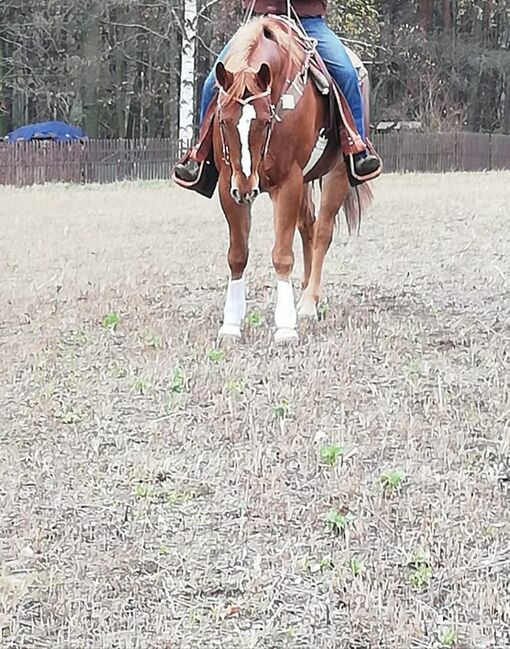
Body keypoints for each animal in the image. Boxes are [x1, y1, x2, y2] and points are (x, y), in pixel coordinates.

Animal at [213, 15, 372, 342]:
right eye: (223, 119)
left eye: (265, 120)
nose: (246, 187)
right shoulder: (227, 185)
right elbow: (237, 254)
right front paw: (231, 324)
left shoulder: (288, 183)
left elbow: (282, 254)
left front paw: (285, 326)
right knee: (307, 227)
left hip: (336, 174)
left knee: (322, 232)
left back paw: (309, 303)